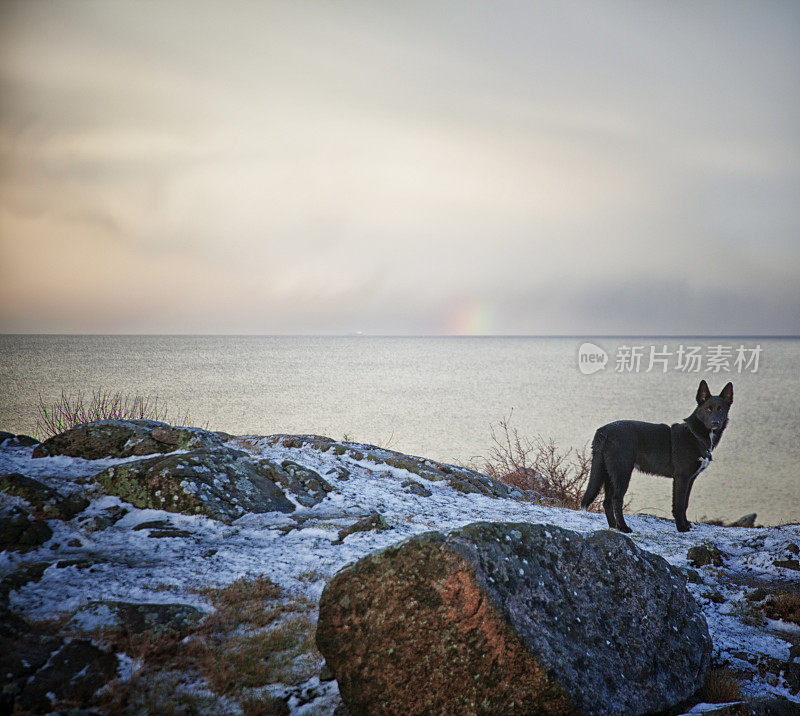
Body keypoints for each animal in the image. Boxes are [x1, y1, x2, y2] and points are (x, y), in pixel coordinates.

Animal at [580, 380, 736, 532]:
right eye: (708, 409)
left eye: (721, 409)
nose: (715, 423)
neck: (695, 434)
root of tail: (603, 431)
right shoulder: (681, 477)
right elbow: (679, 505)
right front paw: (681, 527)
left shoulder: (691, 479)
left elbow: (685, 503)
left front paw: (686, 525)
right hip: (622, 473)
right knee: (616, 500)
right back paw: (623, 528)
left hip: (608, 474)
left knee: (606, 502)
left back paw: (614, 526)